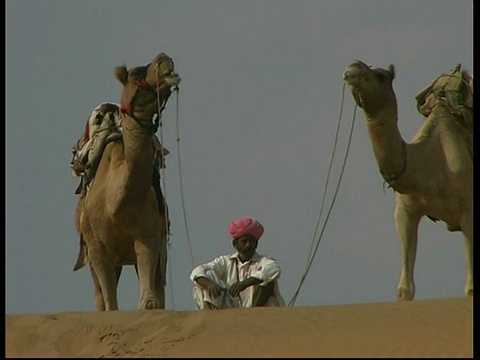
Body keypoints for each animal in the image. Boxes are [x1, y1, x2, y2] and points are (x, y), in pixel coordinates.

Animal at [74, 52, 181, 310]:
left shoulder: (149, 237)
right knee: (100, 296)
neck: (116, 204)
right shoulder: (97, 249)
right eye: (135, 74)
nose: (164, 59)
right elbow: (110, 304)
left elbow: (149, 301)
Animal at [344, 59, 474, 300]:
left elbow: (470, 289)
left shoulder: (468, 210)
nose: (353, 65)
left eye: (381, 76)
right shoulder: (405, 211)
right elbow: (405, 289)